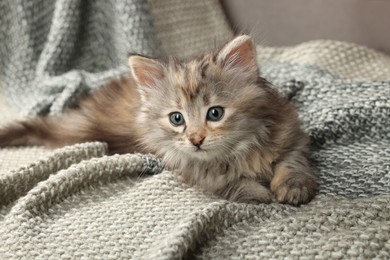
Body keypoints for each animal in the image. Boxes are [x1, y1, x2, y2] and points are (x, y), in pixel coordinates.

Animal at [0, 35, 316, 205]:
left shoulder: (292, 136)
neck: (239, 151)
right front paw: (259, 194)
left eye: (215, 113)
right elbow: (236, 184)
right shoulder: (200, 175)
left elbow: (291, 164)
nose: (196, 139)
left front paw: (292, 188)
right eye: (177, 119)